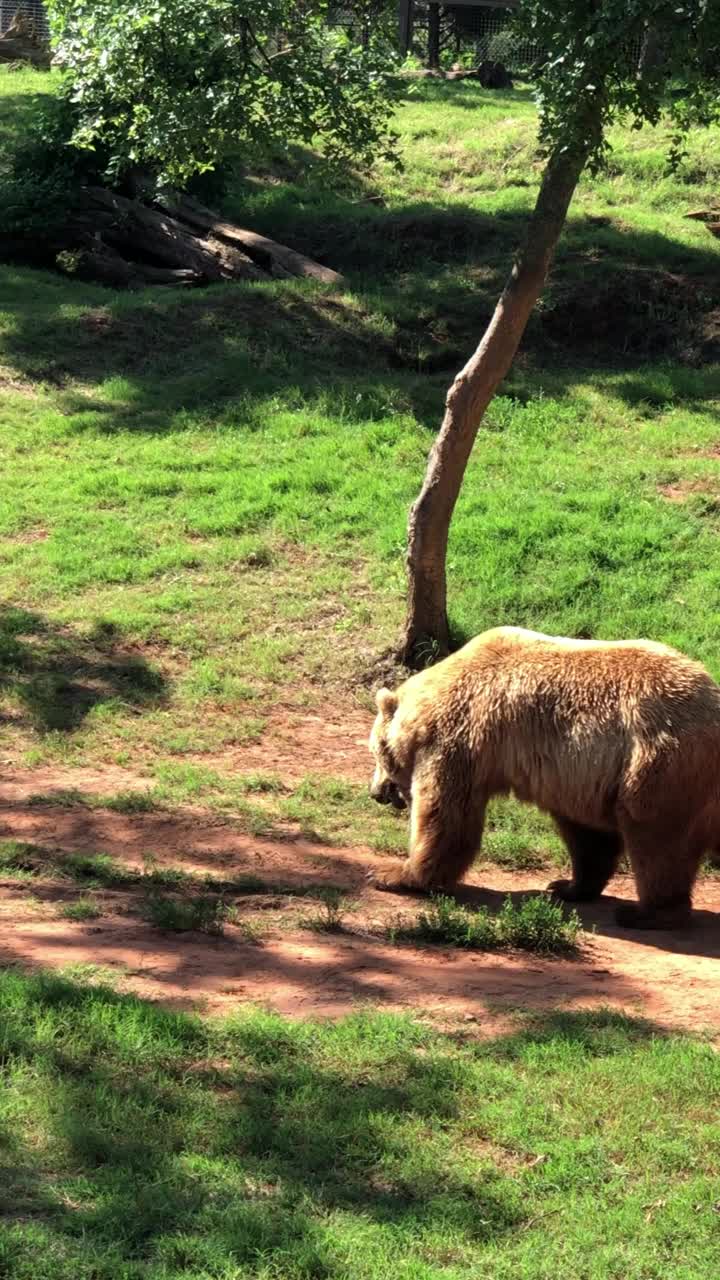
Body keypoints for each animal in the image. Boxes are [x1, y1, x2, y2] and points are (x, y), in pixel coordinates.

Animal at [366, 627, 717, 931]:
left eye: (376, 752)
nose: (376, 792)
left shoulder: (460, 739)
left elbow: (446, 816)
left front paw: (394, 874)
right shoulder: (578, 777)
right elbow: (588, 835)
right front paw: (568, 886)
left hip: (658, 766)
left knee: (657, 840)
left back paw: (646, 913)